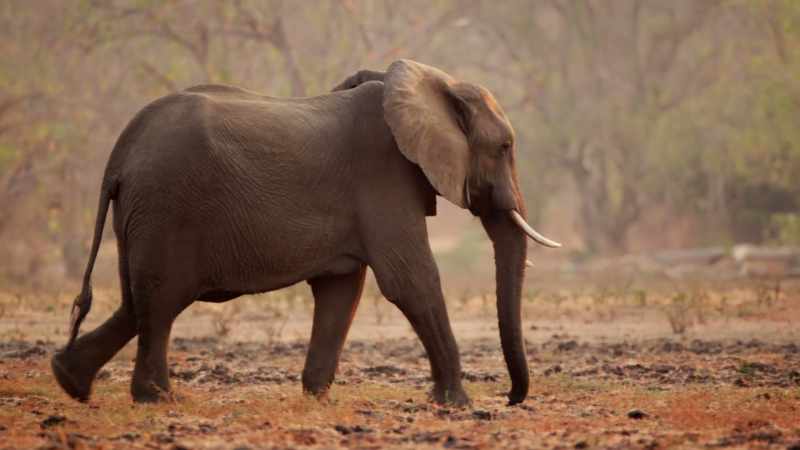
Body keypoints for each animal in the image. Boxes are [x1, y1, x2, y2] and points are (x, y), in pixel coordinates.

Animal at [51, 59, 561, 407]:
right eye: (505, 147)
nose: (511, 398)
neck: (431, 81)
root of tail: (120, 154)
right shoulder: (383, 176)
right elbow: (410, 280)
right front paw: (456, 403)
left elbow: (342, 289)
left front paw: (316, 396)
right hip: (167, 205)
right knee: (160, 302)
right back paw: (156, 398)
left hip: (143, 213)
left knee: (136, 300)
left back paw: (69, 380)